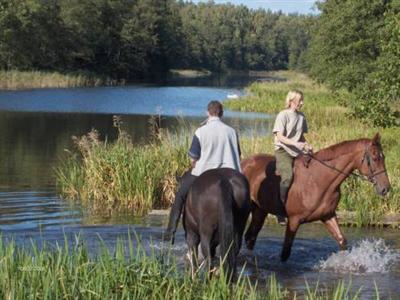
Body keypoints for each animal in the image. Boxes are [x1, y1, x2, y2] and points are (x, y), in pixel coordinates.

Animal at [241, 135, 390, 262]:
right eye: (375, 158)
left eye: (383, 157)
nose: (386, 188)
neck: (318, 180)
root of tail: (244, 162)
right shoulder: (294, 220)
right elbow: (285, 252)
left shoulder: (328, 215)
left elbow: (342, 240)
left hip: (260, 210)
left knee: (250, 237)